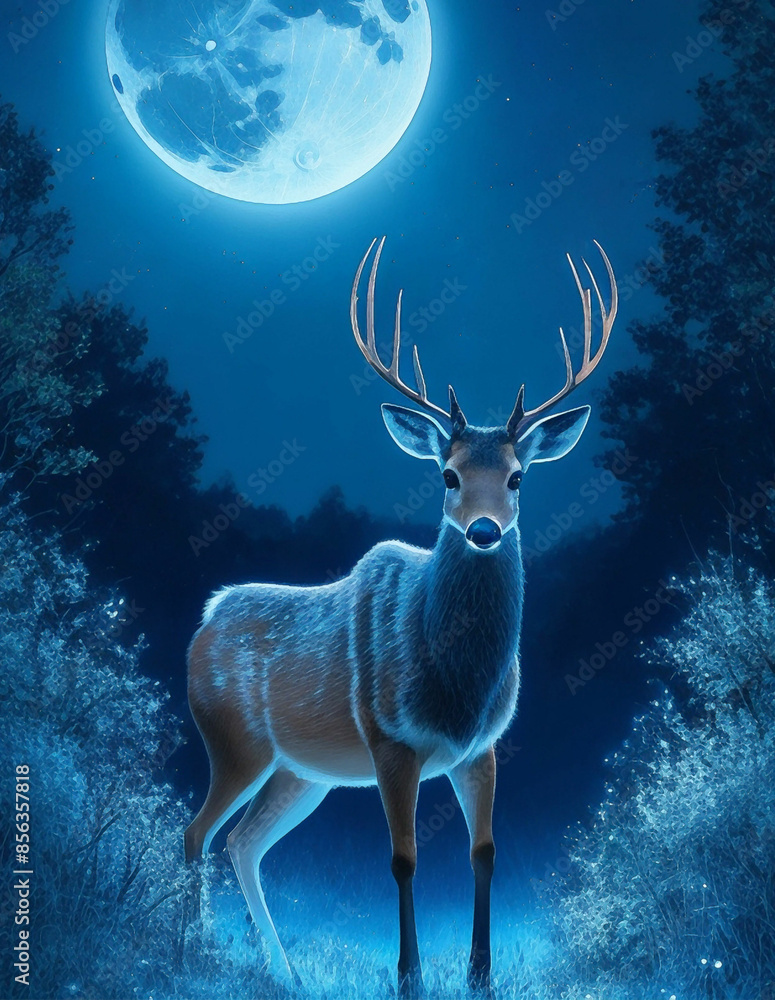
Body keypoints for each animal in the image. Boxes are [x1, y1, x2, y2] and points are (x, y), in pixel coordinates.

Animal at [184, 237, 618, 997]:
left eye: (517, 477)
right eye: (447, 474)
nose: (482, 531)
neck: (455, 686)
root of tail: (204, 620)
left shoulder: (482, 748)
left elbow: (484, 852)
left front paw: (480, 975)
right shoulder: (391, 739)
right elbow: (403, 857)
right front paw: (410, 977)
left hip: (304, 772)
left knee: (242, 842)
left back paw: (284, 972)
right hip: (233, 742)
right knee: (197, 833)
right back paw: (190, 950)